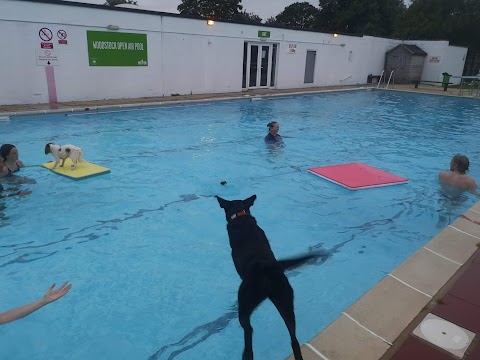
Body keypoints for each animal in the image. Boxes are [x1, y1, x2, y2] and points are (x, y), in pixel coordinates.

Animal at [217, 195, 316, 358]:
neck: (240, 214)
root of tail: (267, 268)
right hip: (285, 302)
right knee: (294, 339)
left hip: (245, 302)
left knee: (249, 329)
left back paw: (247, 355)